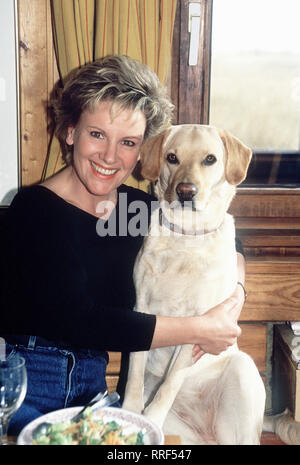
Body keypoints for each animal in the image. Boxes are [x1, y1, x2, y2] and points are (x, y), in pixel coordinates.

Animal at [122, 125, 264, 444]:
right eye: (172, 157)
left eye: (210, 159)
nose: (186, 192)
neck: (185, 236)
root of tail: (208, 433)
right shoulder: (142, 310)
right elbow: (134, 373)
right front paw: (131, 413)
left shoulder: (201, 324)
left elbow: (171, 382)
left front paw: (151, 417)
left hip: (242, 371)